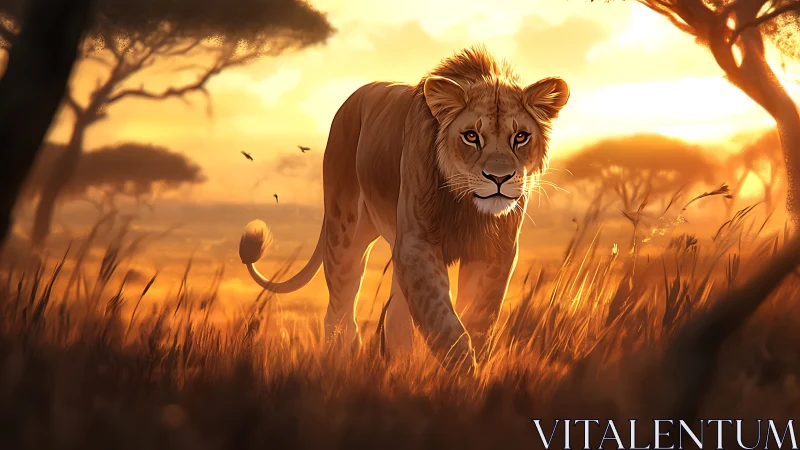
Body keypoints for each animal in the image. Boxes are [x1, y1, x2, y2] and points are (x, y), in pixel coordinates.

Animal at [238, 45, 569, 372]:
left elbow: (479, 315)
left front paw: (473, 372)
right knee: (340, 311)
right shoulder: (416, 244)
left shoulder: (494, 249)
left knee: (396, 314)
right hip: (345, 232)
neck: (466, 206)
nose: (499, 178)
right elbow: (441, 317)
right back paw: (340, 361)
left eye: (520, 137)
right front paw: (463, 368)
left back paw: (399, 366)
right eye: (471, 136)